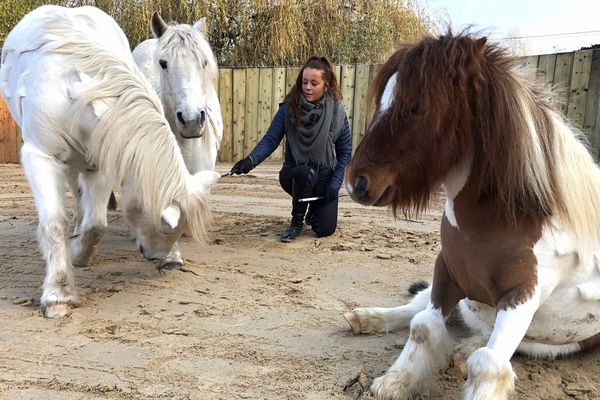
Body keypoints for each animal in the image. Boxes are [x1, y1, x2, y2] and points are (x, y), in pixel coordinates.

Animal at [342, 32, 600, 400]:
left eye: (417, 107)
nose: (356, 183)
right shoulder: (445, 272)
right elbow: (422, 326)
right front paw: (394, 382)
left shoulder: (522, 295)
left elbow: (489, 364)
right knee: (416, 305)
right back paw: (364, 319)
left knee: (488, 343)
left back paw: (465, 350)